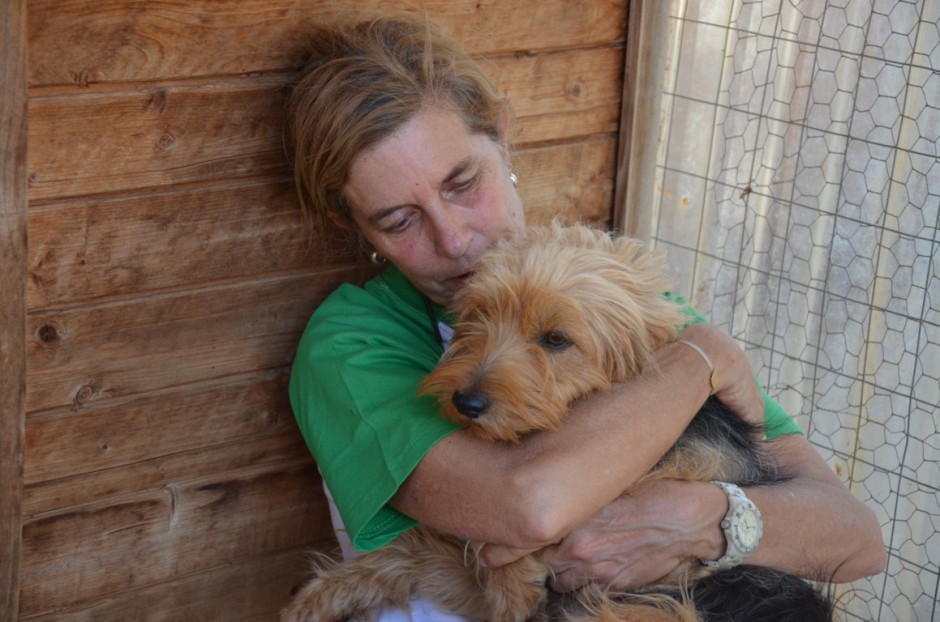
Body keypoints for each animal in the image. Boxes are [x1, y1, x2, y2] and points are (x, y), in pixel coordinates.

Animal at [280, 222, 828, 620]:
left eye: (556, 340)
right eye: (479, 316)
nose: (466, 402)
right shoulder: (469, 568)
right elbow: (399, 555)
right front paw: (309, 604)